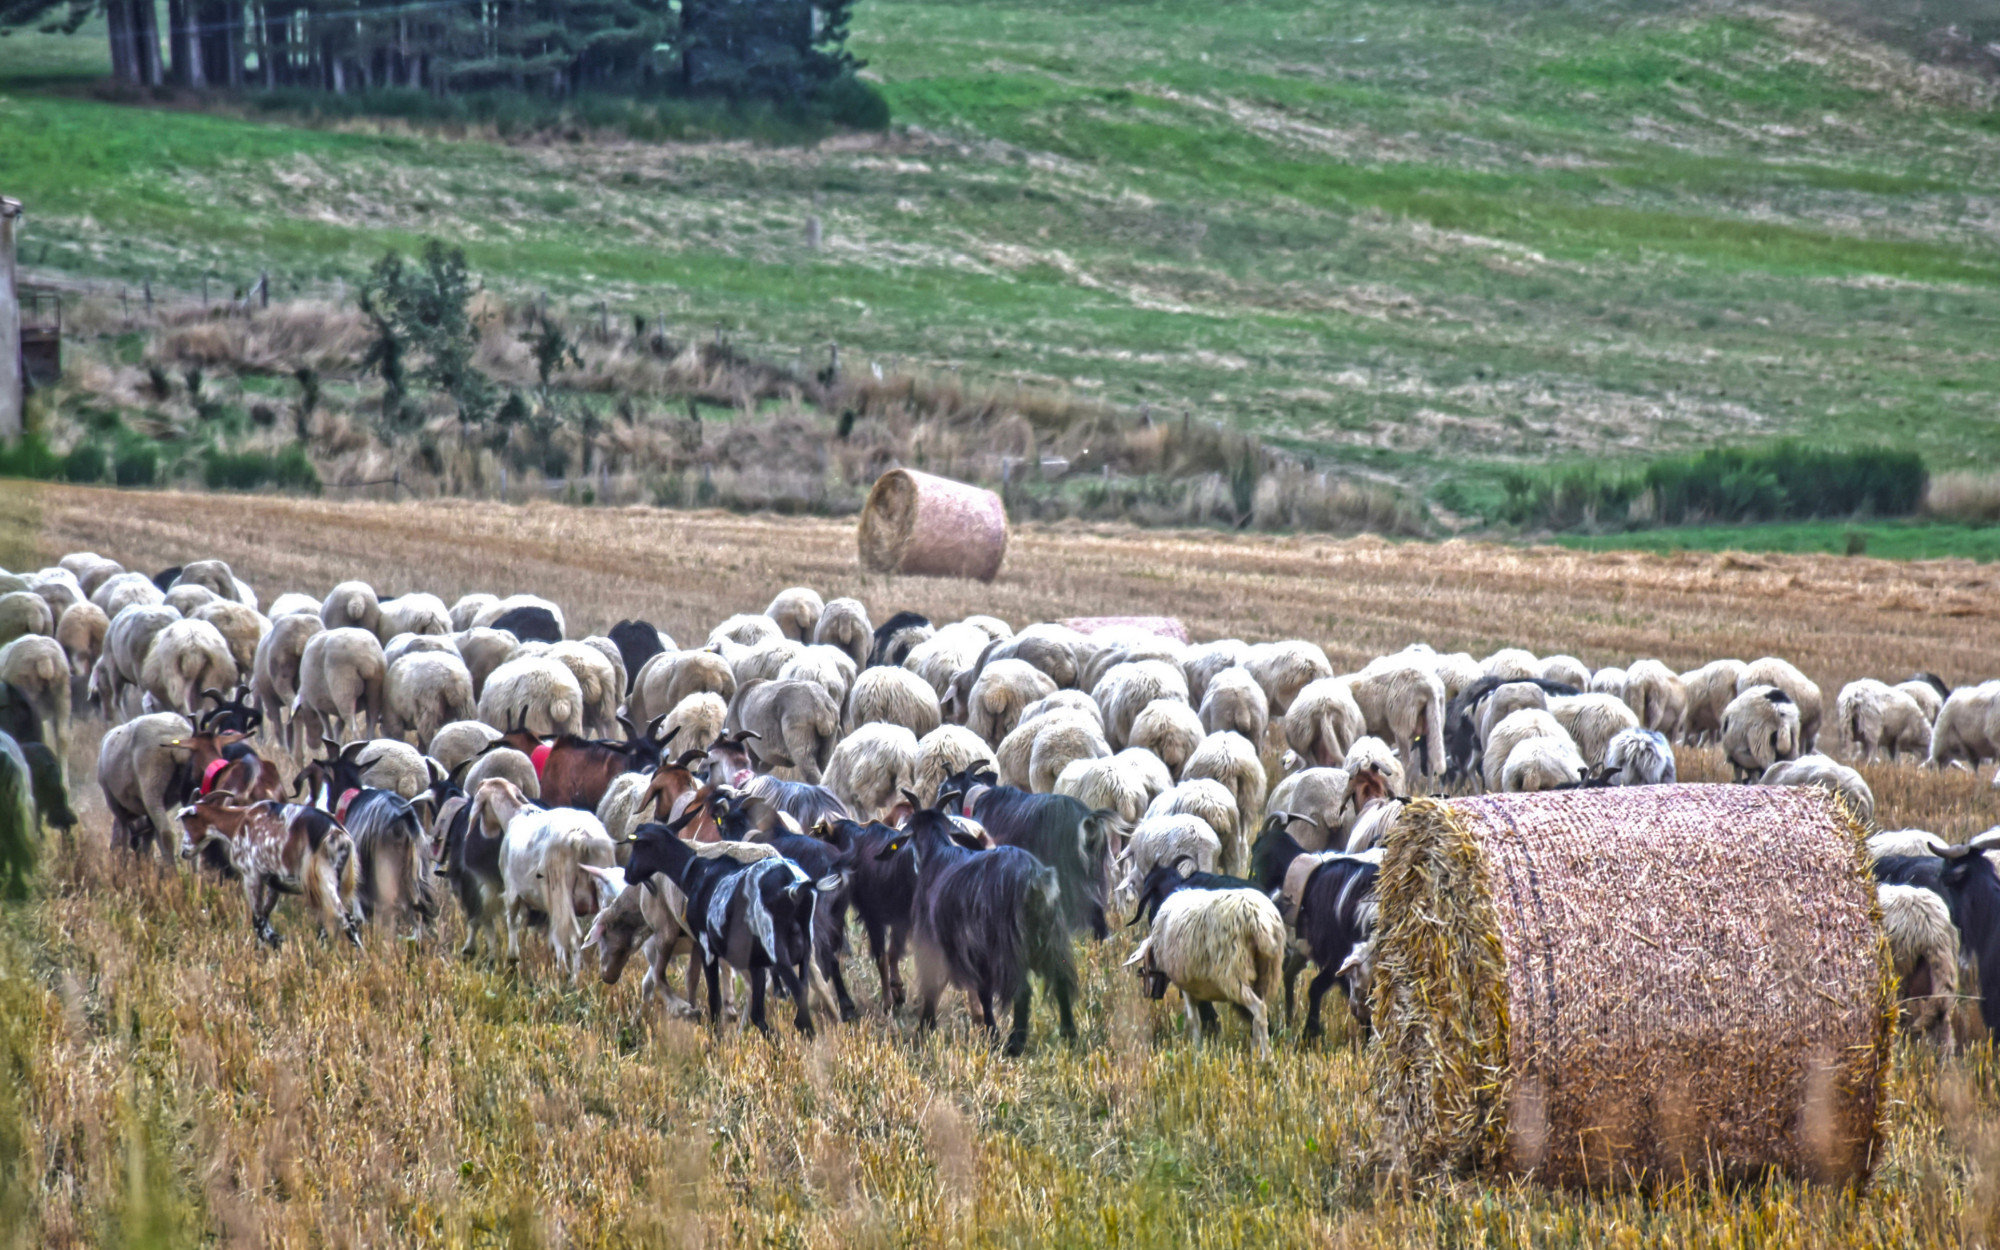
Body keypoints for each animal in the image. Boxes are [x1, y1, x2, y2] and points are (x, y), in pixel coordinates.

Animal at [876, 796, 1080, 1048]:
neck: (937, 855)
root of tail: (1033, 879)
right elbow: (982, 992)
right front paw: (989, 1031)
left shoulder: (936, 941)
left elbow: (935, 984)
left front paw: (925, 1027)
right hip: (1050, 936)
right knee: (1061, 979)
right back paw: (1069, 1034)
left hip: (1007, 946)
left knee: (1022, 990)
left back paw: (1015, 1044)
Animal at [1128, 888, 1280, 1056]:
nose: (1150, 994)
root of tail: (1258, 919)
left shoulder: (1187, 986)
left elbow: (1194, 1019)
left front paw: (1197, 1049)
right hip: (1267, 973)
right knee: (1258, 1012)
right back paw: (1254, 1051)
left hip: (1233, 972)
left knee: (1259, 1009)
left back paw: (1266, 1057)